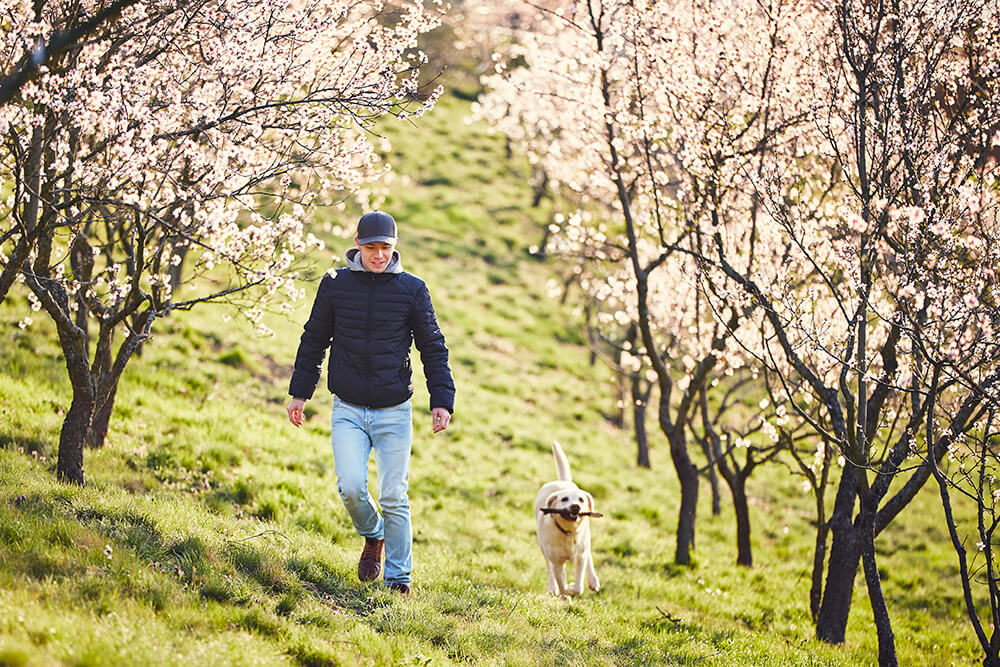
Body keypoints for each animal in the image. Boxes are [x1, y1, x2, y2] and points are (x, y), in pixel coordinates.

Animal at [536, 444, 596, 596]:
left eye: (581, 499)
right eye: (564, 499)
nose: (575, 506)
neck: (569, 533)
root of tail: (562, 482)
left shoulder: (580, 558)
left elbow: (579, 587)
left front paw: (572, 587)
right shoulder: (557, 563)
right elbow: (561, 584)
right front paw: (565, 595)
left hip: (586, 539)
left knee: (589, 554)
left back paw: (593, 580)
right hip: (543, 549)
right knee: (549, 570)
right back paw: (552, 588)